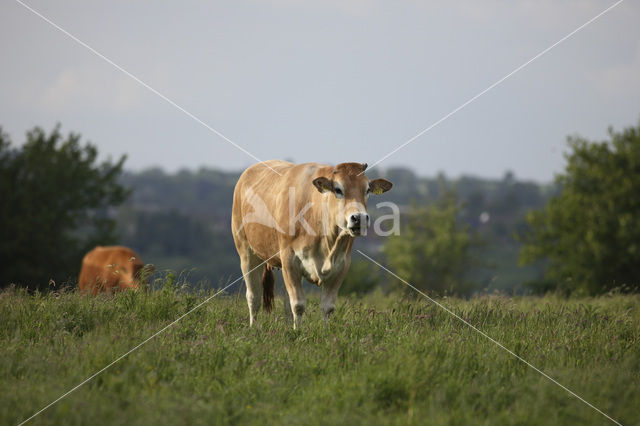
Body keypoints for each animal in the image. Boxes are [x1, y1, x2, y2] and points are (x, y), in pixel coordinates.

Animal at [230, 161, 390, 328]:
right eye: (338, 189)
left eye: (367, 189)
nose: (359, 218)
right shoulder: (290, 260)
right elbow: (298, 305)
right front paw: (298, 331)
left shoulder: (342, 265)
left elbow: (327, 307)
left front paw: (325, 330)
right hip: (246, 252)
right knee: (253, 296)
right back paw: (254, 327)